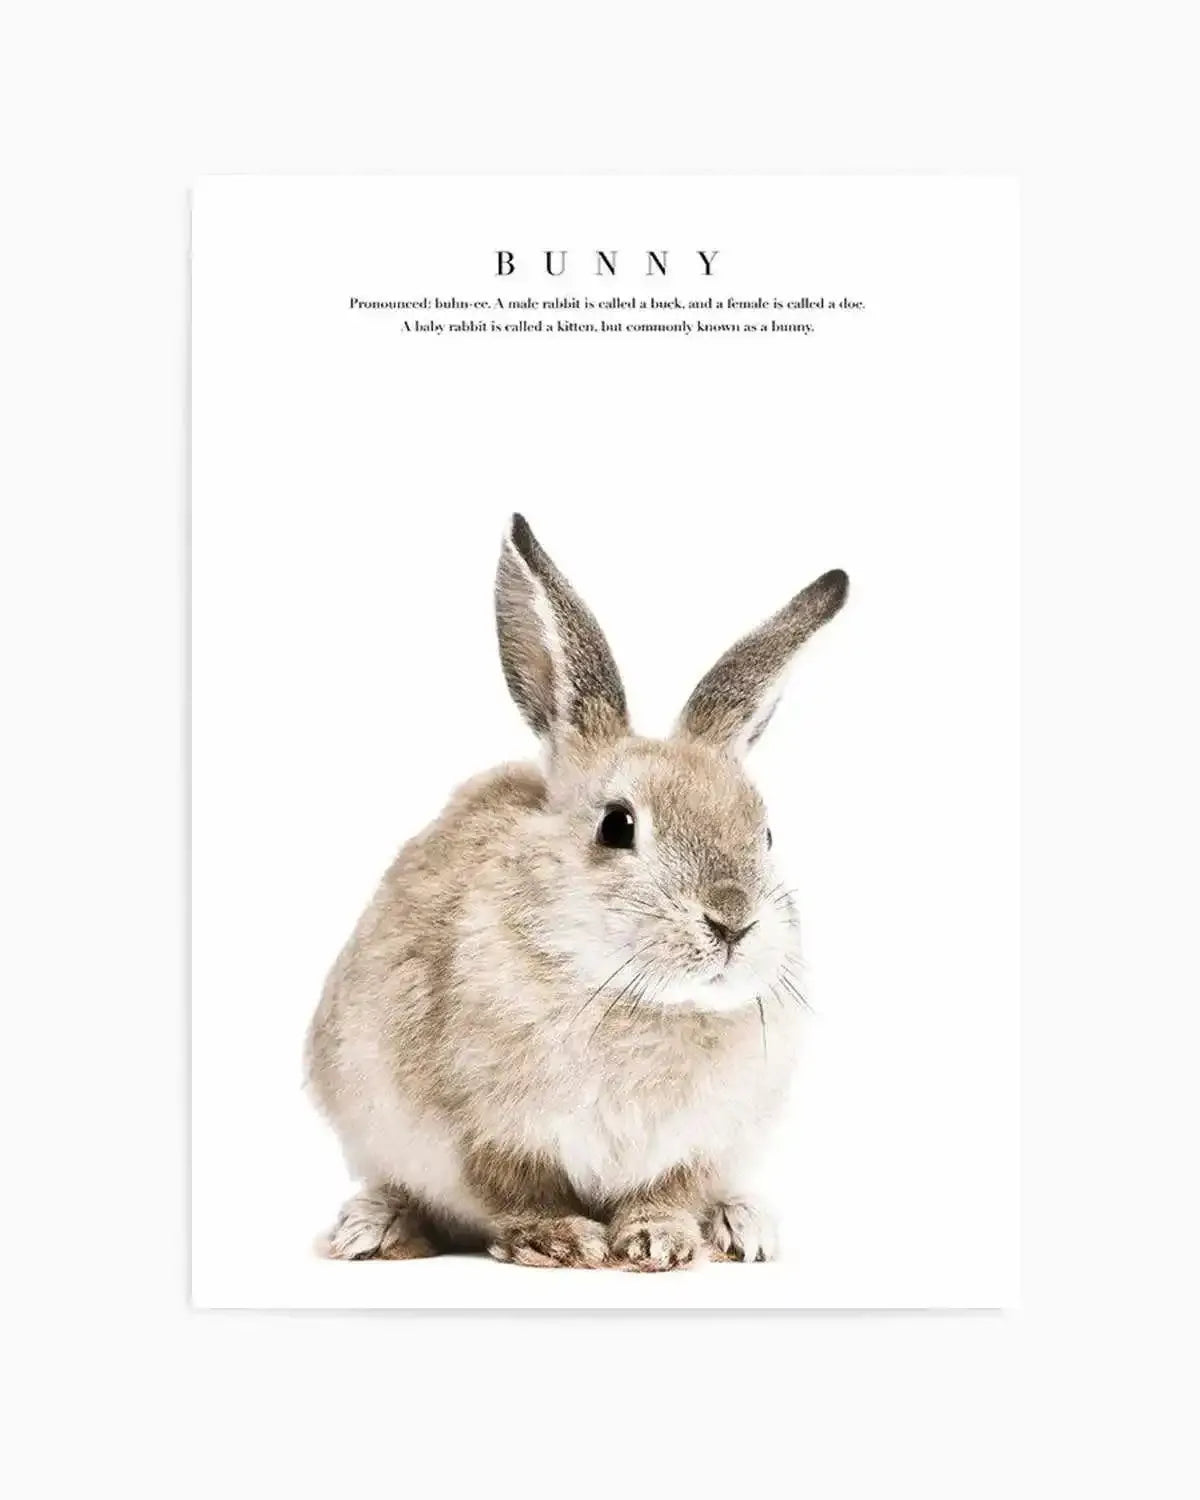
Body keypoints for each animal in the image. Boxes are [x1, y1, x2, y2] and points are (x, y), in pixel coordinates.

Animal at [306, 514, 848, 1271]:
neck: (635, 998)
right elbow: (516, 1192)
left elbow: (671, 1191)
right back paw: (373, 1229)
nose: (733, 921)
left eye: (765, 835)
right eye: (617, 825)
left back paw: (742, 1227)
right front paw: (561, 1240)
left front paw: (661, 1241)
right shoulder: (481, 1133)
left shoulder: (701, 1144)